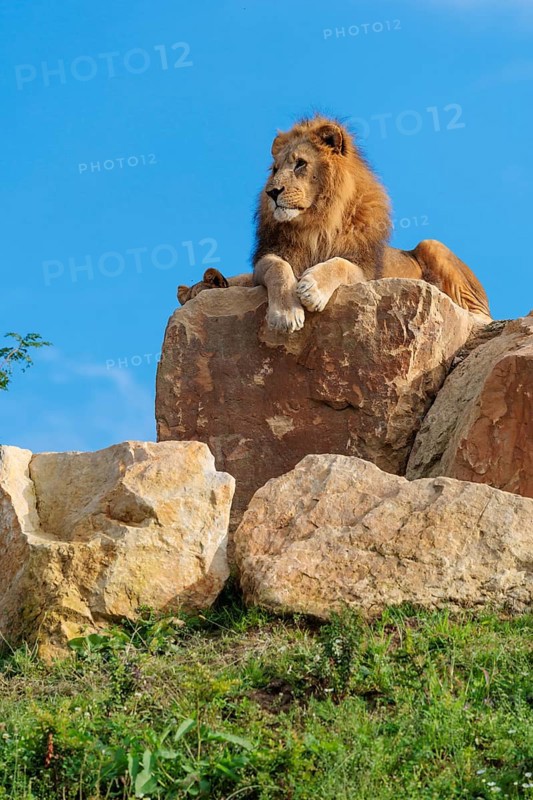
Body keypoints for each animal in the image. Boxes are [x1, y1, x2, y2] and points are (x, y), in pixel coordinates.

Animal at [178, 115, 491, 331]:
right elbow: (277, 268)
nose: (272, 192)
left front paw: (312, 289)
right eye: (276, 169)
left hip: (432, 246)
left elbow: (339, 264)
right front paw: (286, 314)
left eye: (300, 164)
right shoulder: (266, 261)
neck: (315, 223)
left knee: (482, 315)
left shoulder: (363, 269)